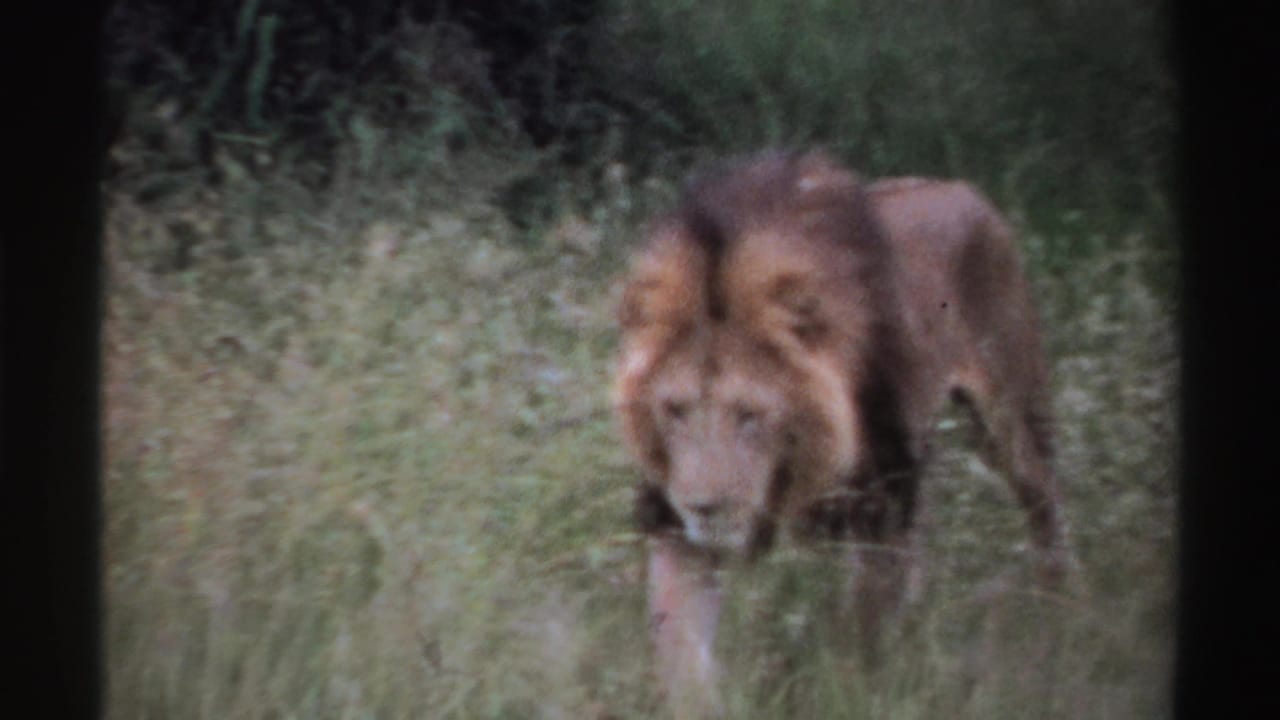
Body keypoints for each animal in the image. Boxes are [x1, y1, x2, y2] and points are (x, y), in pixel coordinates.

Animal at [613, 151, 1072, 715]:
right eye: (675, 410)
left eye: (749, 414)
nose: (705, 507)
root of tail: (961, 188)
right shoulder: (675, 528)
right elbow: (683, 657)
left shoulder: (881, 515)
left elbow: (856, 649)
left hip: (1012, 419)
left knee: (1048, 513)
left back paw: (1062, 628)